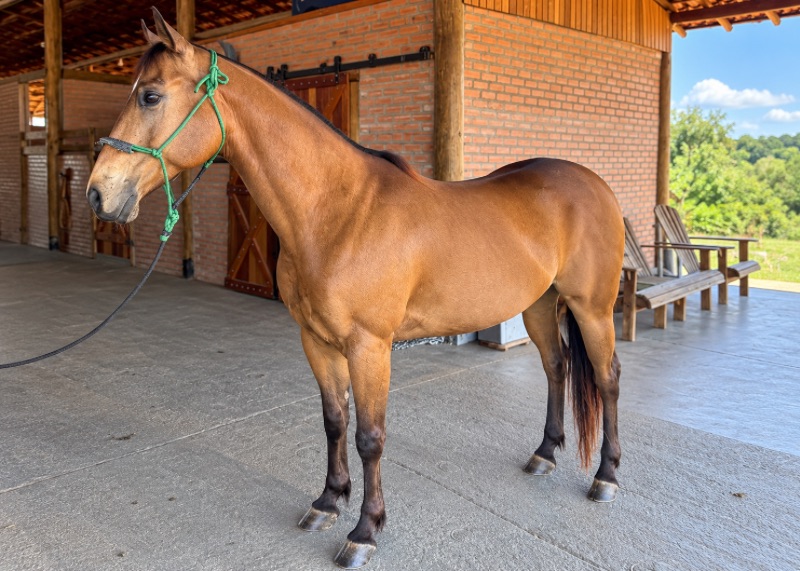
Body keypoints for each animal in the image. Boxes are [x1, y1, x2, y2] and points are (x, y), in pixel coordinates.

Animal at [87, 9, 624, 569]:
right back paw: (544, 454)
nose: (98, 194)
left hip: (592, 308)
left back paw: (606, 477)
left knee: (607, 378)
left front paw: (365, 530)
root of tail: (595, 184)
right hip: (540, 304)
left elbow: (370, 437)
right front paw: (327, 501)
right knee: (557, 367)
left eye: (150, 96)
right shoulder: (317, 342)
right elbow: (334, 421)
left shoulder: (370, 347)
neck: (338, 213)